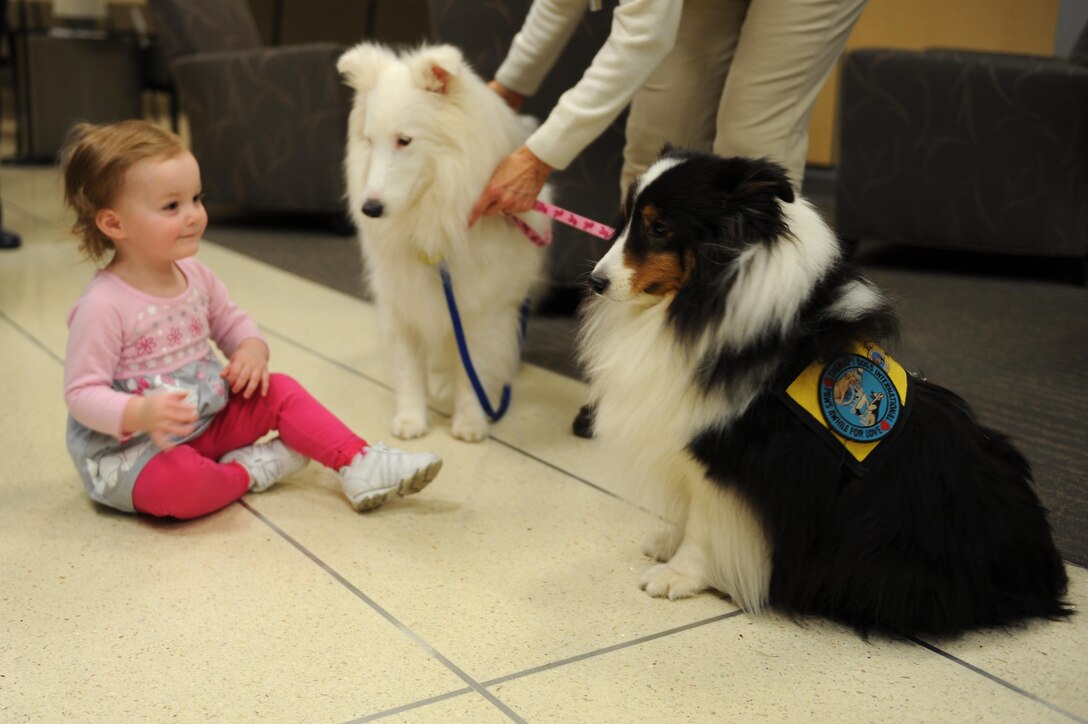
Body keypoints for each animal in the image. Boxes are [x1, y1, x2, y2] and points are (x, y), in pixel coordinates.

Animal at [335, 45, 548, 444]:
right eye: (369, 141)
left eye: (404, 140)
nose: (370, 209)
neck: (430, 220)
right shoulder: (402, 299)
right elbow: (408, 367)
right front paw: (410, 420)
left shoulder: (483, 308)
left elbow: (474, 369)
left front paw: (470, 423)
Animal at [583, 149, 1066, 635]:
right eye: (626, 219)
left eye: (660, 228)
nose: (594, 282)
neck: (702, 301)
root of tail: (1046, 573)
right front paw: (670, 543)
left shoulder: (726, 458)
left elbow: (705, 523)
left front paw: (679, 574)